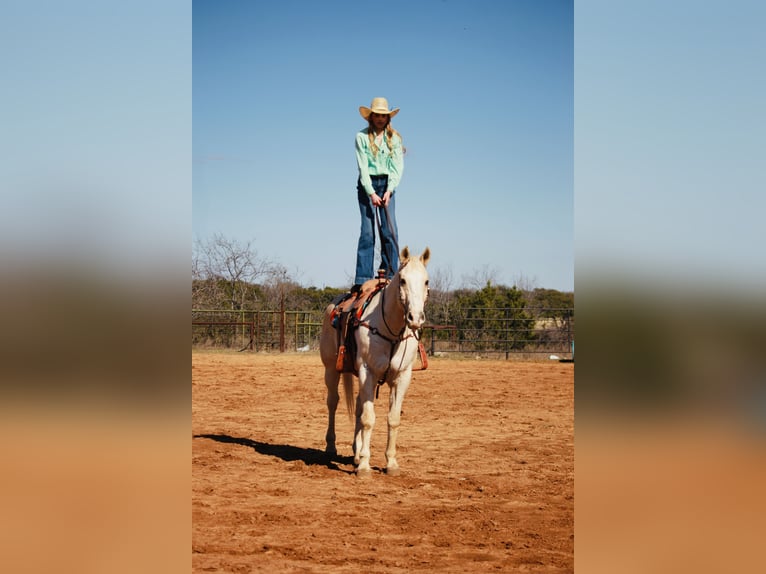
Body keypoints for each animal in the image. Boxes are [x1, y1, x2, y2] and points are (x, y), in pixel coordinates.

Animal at [320, 246, 432, 476]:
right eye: (403, 280)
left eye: (426, 281)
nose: (415, 318)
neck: (391, 330)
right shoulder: (368, 372)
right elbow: (369, 419)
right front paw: (364, 465)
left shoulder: (402, 377)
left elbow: (392, 419)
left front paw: (391, 463)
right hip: (331, 370)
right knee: (333, 402)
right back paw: (331, 446)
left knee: (359, 406)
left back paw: (355, 453)